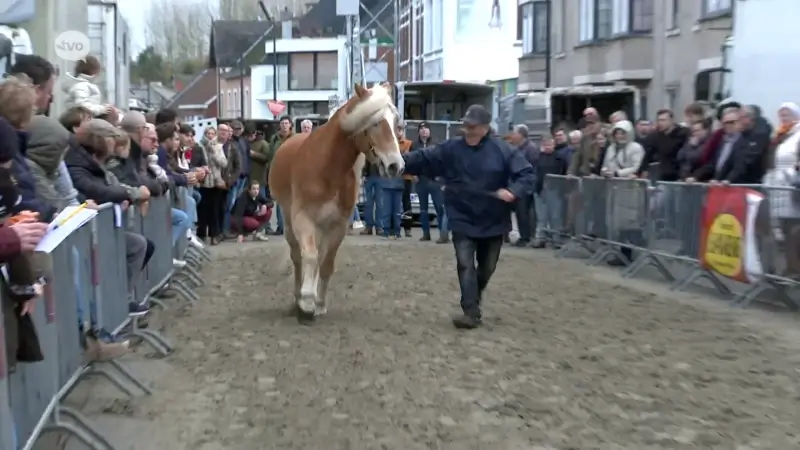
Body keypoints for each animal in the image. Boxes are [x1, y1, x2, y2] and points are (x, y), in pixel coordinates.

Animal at [268, 83, 406, 324]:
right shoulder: (303, 219)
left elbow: (326, 264)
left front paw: (319, 304)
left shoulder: (338, 225)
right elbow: (310, 257)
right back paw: (297, 298)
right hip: (289, 221)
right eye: (375, 122)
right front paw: (306, 303)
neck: (328, 167)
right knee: (298, 257)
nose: (395, 166)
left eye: (394, 121)